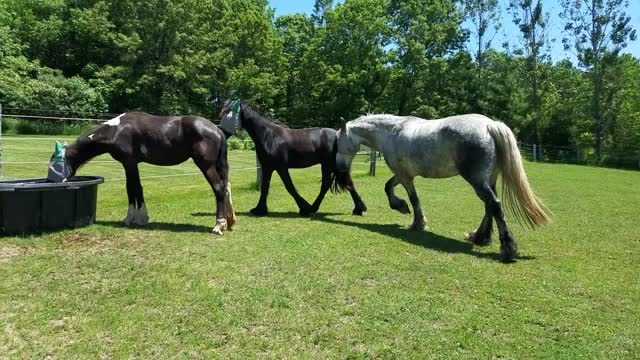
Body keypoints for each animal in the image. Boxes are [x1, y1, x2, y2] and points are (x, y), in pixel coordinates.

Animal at [59, 113, 235, 236]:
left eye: (57, 160)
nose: (60, 181)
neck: (117, 130)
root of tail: (216, 129)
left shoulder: (129, 163)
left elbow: (132, 188)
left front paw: (131, 218)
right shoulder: (133, 164)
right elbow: (137, 188)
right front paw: (141, 218)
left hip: (206, 166)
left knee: (219, 188)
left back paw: (218, 225)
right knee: (226, 187)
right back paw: (229, 222)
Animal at [218, 99, 364, 217]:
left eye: (228, 115)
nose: (221, 132)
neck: (269, 136)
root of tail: (340, 135)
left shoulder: (281, 167)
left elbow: (290, 187)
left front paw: (304, 208)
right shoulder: (267, 167)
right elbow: (265, 187)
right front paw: (260, 209)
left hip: (328, 165)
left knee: (328, 184)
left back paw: (314, 208)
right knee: (346, 183)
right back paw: (357, 209)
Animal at [336, 114, 552, 260]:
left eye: (339, 143)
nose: (339, 167)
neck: (392, 132)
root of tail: (490, 125)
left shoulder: (406, 177)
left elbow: (412, 198)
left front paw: (415, 221)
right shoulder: (403, 174)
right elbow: (389, 186)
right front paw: (402, 207)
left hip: (477, 181)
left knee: (494, 204)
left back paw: (507, 248)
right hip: (488, 180)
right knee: (489, 206)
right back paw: (480, 237)